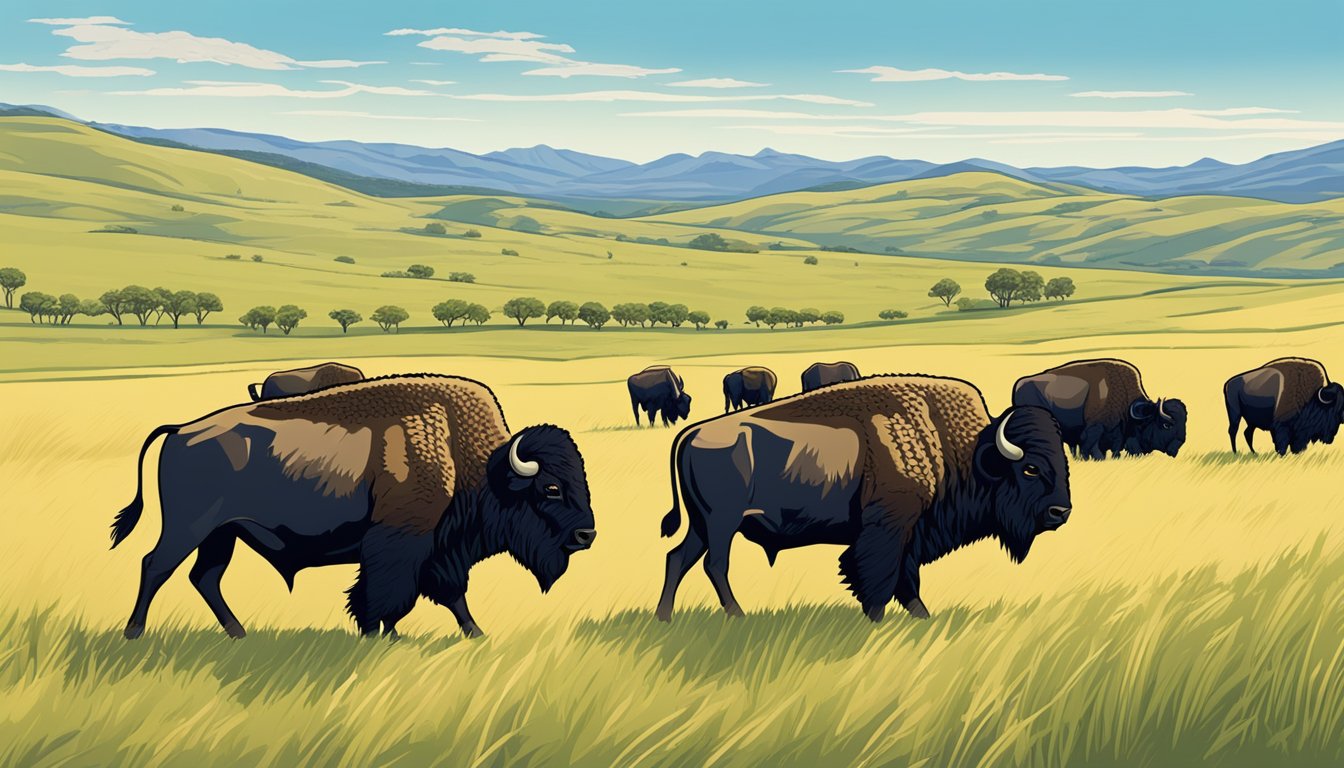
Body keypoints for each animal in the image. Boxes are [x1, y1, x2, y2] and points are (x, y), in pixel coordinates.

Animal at [112, 376, 596, 640]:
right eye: (551, 488)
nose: (586, 535)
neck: (462, 454)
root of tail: (180, 430)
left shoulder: (439, 549)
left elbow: (447, 594)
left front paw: (474, 635)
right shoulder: (402, 543)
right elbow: (388, 595)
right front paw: (386, 635)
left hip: (222, 534)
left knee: (204, 577)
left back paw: (238, 633)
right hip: (189, 527)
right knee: (155, 565)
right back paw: (134, 634)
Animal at [1010, 360, 1188, 459]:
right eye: (1166, 425)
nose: (1176, 448)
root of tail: (1018, 385)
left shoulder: (1117, 434)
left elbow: (1114, 450)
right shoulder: (1094, 430)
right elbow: (1093, 450)